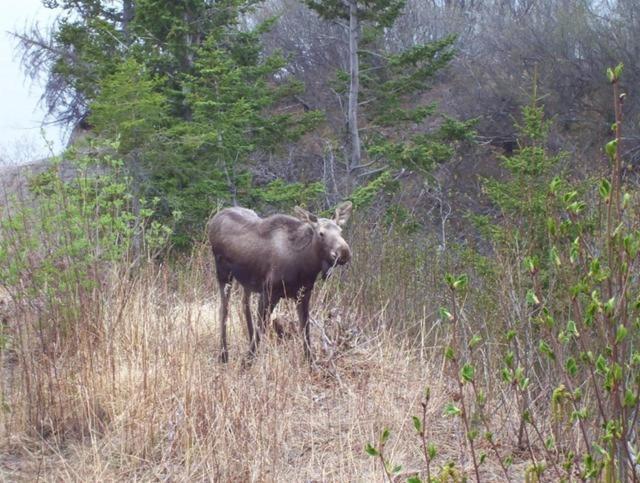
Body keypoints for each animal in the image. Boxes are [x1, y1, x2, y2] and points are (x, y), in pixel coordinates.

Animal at [208, 201, 352, 364]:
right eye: (321, 233)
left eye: (340, 231)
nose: (344, 252)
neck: (305, 265)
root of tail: (214, 219)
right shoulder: (269, 292)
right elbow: (261, 327)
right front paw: (246, 363)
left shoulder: (304, 294)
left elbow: (305, 329)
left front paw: (311, 362)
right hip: (223, 273)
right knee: (224, 309)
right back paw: (223, 355)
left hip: (247, 282)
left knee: (244, 305)